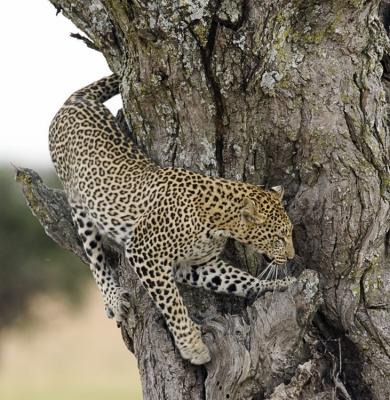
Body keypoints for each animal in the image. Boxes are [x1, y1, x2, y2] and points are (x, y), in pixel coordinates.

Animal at [49, 75, 296, 366]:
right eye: (278, 238)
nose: (291, 256)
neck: (220, 221)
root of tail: (75, 101)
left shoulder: (196, 265)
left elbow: (240, 280)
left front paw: (276, 285)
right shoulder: (145, 252)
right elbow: (173, 303)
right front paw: (192, 346)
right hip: (78, 204)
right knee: (95, 257)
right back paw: (113, 298)